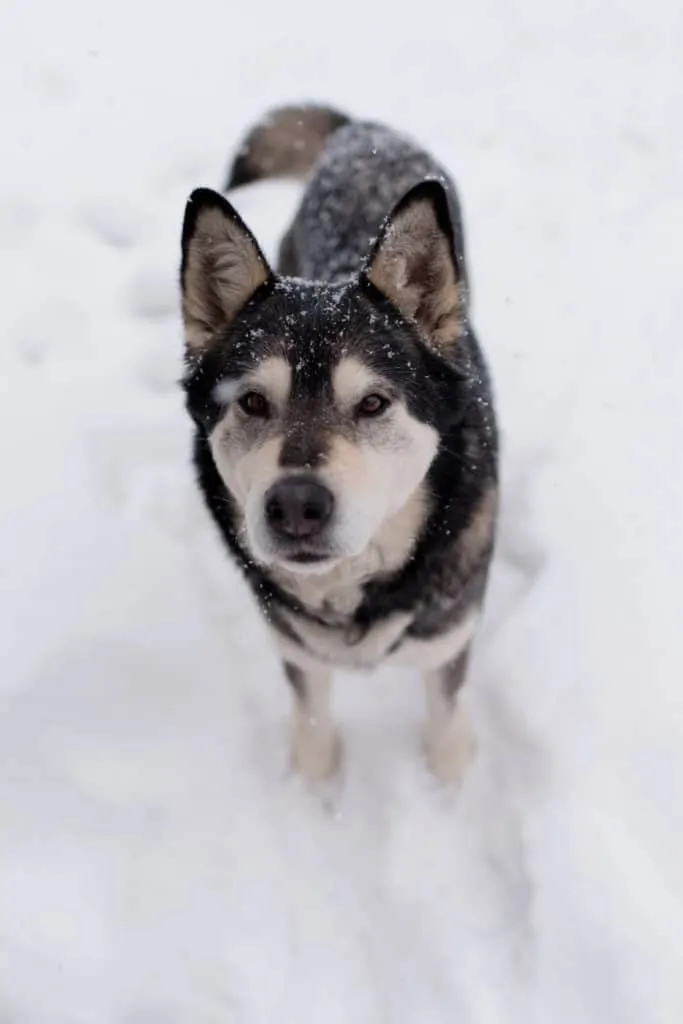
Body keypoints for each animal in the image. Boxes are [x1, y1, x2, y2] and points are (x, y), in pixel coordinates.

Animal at [179, 103, 499, 782]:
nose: (297, 504)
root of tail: (363, 129)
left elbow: (446, 729)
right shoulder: (297, 648)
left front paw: (450, 786)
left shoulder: (446, 644)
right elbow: (313, 726)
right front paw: (315, 788)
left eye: (373, 403)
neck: (354, 589)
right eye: (252, 402)